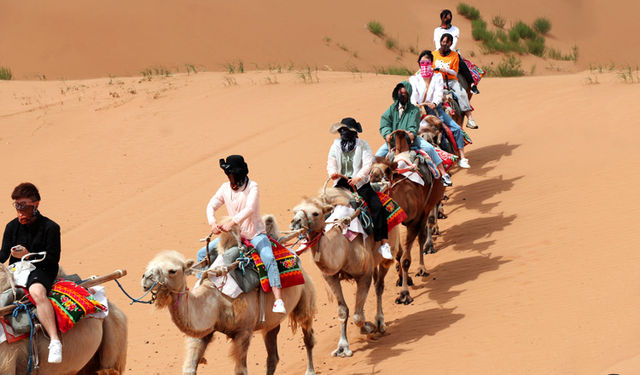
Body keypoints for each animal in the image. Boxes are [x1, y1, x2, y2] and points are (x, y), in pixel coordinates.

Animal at [142, 217, 318, 375]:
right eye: (149, 266)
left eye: (172, 271)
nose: (145, 278)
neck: (217, 301)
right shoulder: (204, 331)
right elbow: (189, 368)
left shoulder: (244, 332)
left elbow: (240, 371)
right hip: (270, 323)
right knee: (272, 356)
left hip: (305, 296)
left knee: (308, 336)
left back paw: (310, 371)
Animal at [288, 188, 400, 358]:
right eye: (295, 211)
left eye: (315, 213)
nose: (295, 223)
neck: (344, 249)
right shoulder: (331, 277)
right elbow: (343, 311)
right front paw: (342, 347)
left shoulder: (364, 275)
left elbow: (357, 315)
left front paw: (368, 327)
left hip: (388, 252)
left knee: (379, 285)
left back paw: (380, 322)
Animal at [370, 130, 444, 306]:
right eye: (370, 169)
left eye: (387, 170)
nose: (374, 177)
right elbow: (398, 254)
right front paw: (402, 280)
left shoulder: (414, 222)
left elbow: (405, 259)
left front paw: (404, 294)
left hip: (426, 208)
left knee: (422, 236)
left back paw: (422, 267)